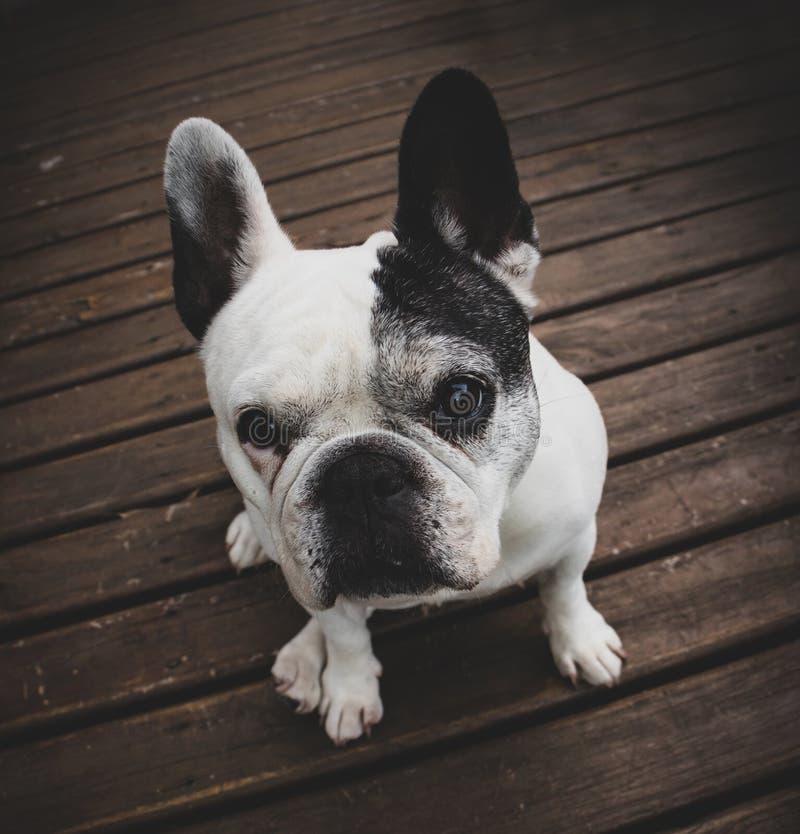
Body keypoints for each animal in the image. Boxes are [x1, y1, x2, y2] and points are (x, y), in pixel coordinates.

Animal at [162, 70, 624, 740]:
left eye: (462, 397)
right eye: (258, 429)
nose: (358, 475)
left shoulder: (573, 532)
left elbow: (564, 587)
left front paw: (579, 640)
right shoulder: (316, 582)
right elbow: (343, 632)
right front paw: (348, 688)